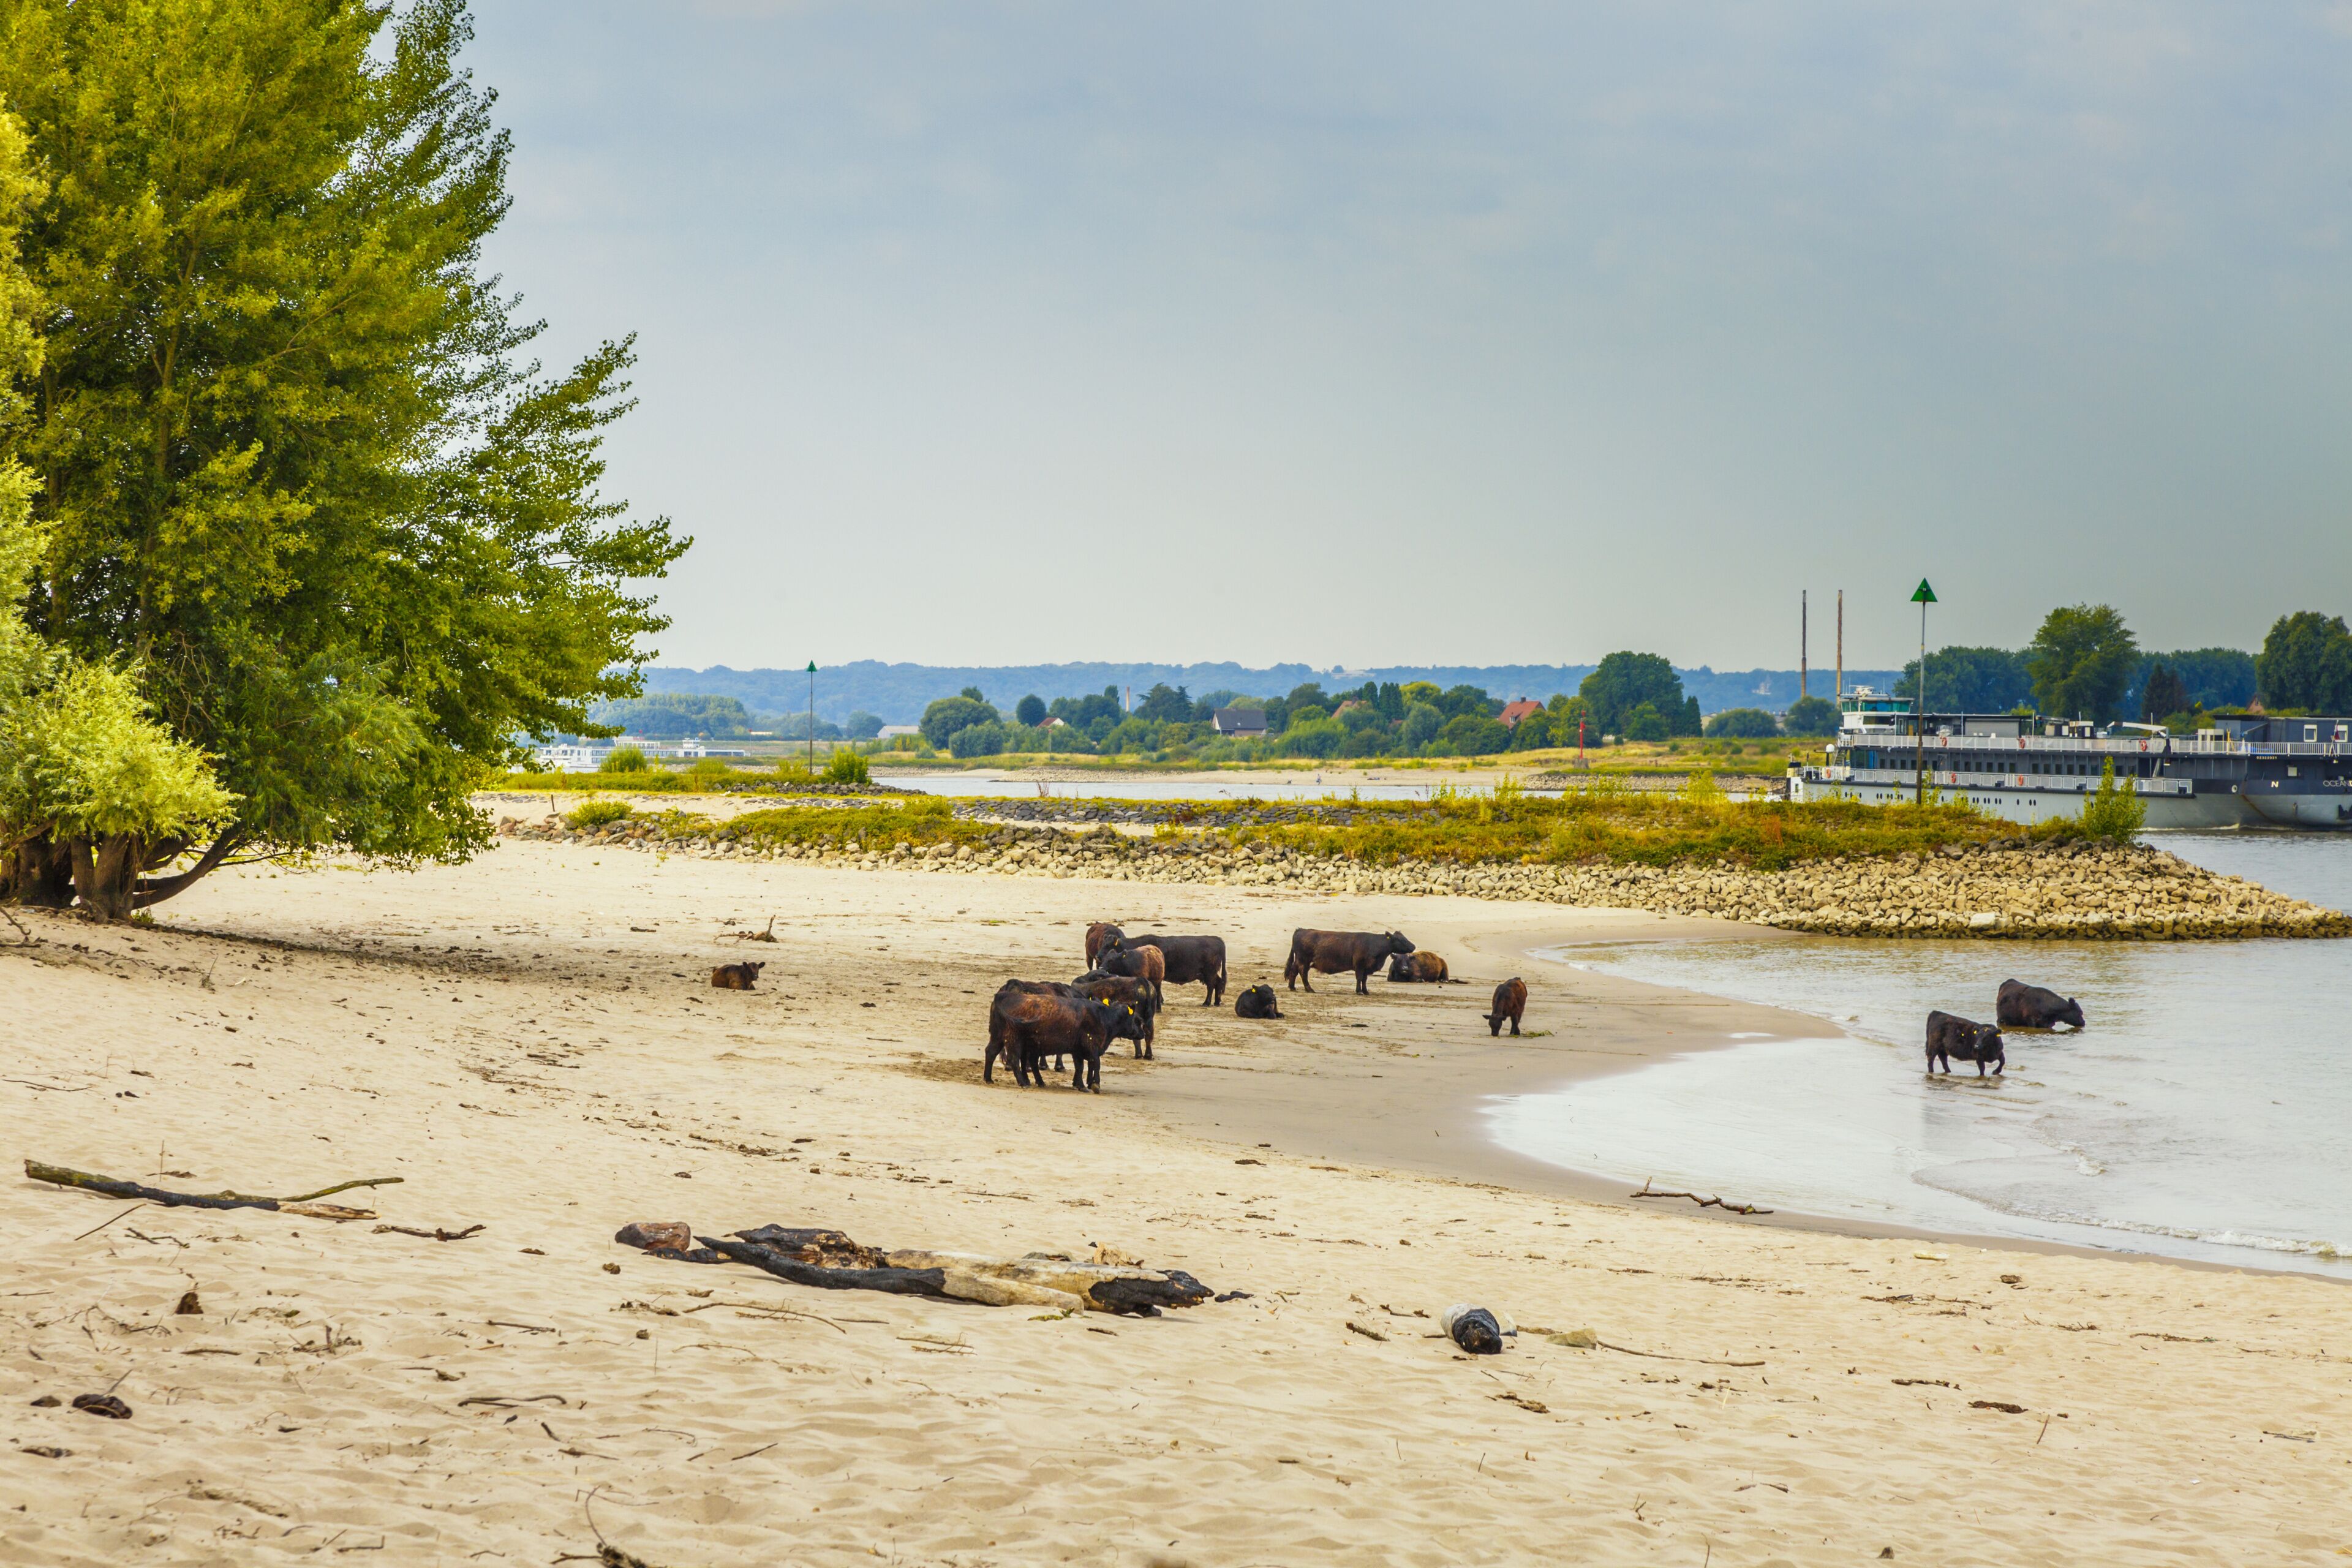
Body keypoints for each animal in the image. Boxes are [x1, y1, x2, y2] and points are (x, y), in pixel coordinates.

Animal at [1121, 934, 1228, 1006]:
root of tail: (1218, 939)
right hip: (1209, 973)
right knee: (1218, 983)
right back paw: (1217, 1002)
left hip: (1210, 972)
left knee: (1211, 986)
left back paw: (1207, 1003)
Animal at [1285, 929, 1414, 995]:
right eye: (1400, 940)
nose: (1414, 946)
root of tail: (1301, 930)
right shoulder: (1359, 965)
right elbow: (1359, 978)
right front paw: (1359, 992)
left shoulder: (1366, 968)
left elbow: (1364, 980)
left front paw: (1366, 991)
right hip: (1304, 961)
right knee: (1303, 974)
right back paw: (1309, 989)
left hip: (1300, 961)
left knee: (1294, 971)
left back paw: (1292, 987)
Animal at [1925, 1010, 2006, 1077]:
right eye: (1977, 1036)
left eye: (1988, 1037)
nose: (1976, 1046)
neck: (1991, 1050)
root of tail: (1937, 1013)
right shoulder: (1979, 1057)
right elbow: (1982, 1069)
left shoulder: (1999, 1052)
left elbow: (2003, 1061)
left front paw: (1996, 1072)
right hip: (1934, 1046)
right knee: (1931, 1059)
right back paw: (1931, 1072)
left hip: (1943, 1049)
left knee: (1943, 1059)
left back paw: (1948, 1071)